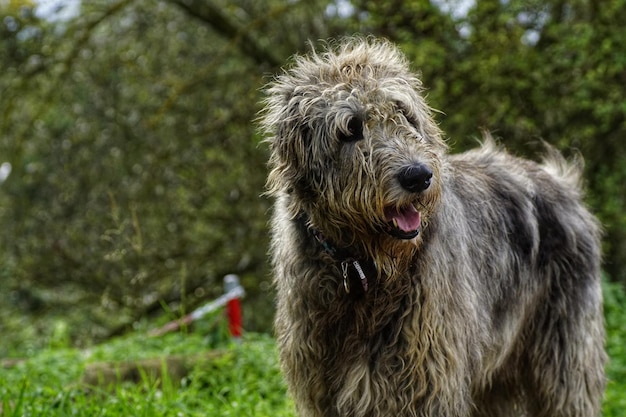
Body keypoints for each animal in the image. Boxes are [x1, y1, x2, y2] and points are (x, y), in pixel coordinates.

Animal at [258, 38, 600, 416]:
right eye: (350, 129)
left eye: (404, 115)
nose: (418, 176)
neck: (363, 268)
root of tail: (559, 180)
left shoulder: (426, 380)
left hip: (564, 357)